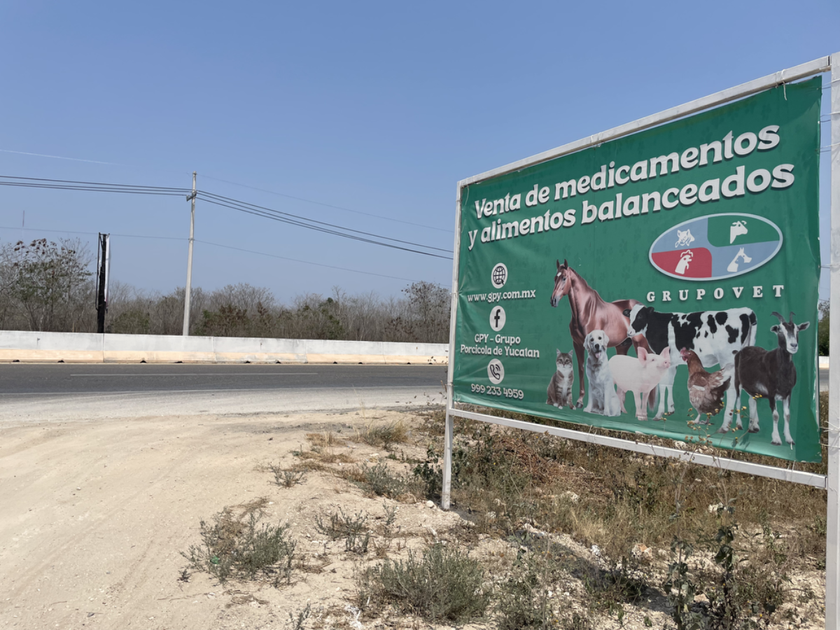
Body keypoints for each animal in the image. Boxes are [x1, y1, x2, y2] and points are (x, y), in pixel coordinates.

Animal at [550, 259, 649, 409]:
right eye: (555, 278)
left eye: (564, 278)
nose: (553, 300)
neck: (586, 311)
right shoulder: (577, 344)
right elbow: (581, 368)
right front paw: (580, 401)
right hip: (622, 346)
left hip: (639, 343)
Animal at [623, 304, 757, 421]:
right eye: (630, 316)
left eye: (640, 316)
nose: (629, 332)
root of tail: (745, 311)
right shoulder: (672, 363)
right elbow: (670, 383)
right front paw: (670, 409)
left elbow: (663, 385)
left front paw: (659, 413)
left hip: (728, 359)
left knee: (733, 391)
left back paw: (727, 423)